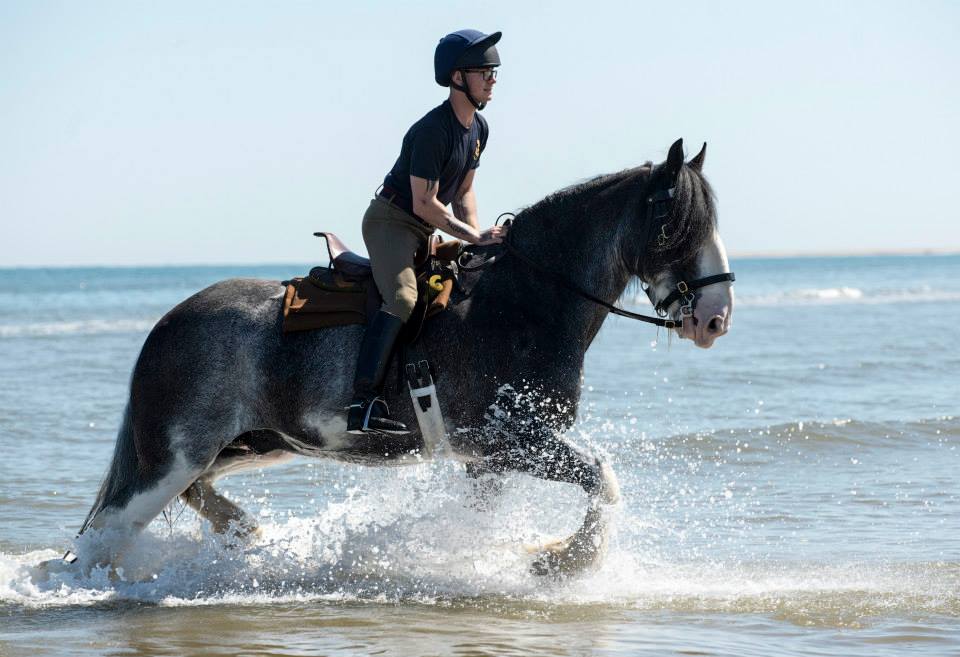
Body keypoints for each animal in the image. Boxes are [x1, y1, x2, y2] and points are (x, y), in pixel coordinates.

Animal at [71, 137, 740, 576]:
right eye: (674, 224)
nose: (715, 317)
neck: (525, 299)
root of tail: (169, 323)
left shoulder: (489, 460)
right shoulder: (512, 441)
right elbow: (605, 477)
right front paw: (564, 562)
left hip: (245, 447)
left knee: (193, 496)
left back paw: (248, 536)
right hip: (173, 458)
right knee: (110, 531)